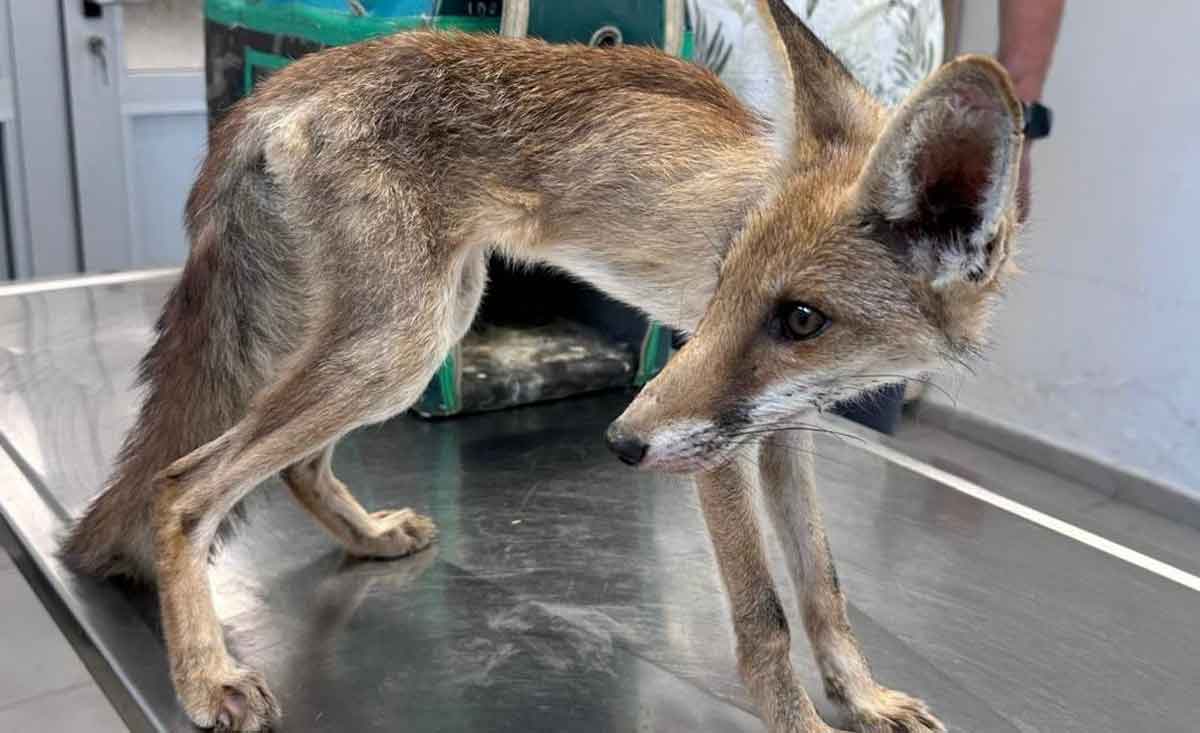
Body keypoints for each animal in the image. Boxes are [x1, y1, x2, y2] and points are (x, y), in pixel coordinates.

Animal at [60, 1, 1027, 733]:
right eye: (719, 292)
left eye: (800, 319)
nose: (622, 443)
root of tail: (302, 74)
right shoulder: (713, 444)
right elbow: (766, 616)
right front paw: (804, 723)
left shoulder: (783, 430)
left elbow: (824, 591)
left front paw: (863, 700)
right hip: (399, 346)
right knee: (182, 486)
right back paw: (205, 674)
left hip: (417, 334)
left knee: (295, 464)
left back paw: (367, 537)